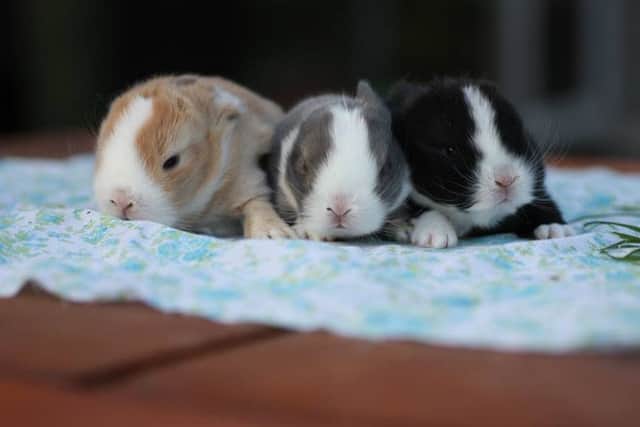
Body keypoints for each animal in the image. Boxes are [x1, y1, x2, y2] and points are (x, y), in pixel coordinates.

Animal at [93, 74, 295, 238]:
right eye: (101, 152)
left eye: (172, 161)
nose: (121, 200)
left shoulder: (247, 177)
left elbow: (255, 203)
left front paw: (273, 234)